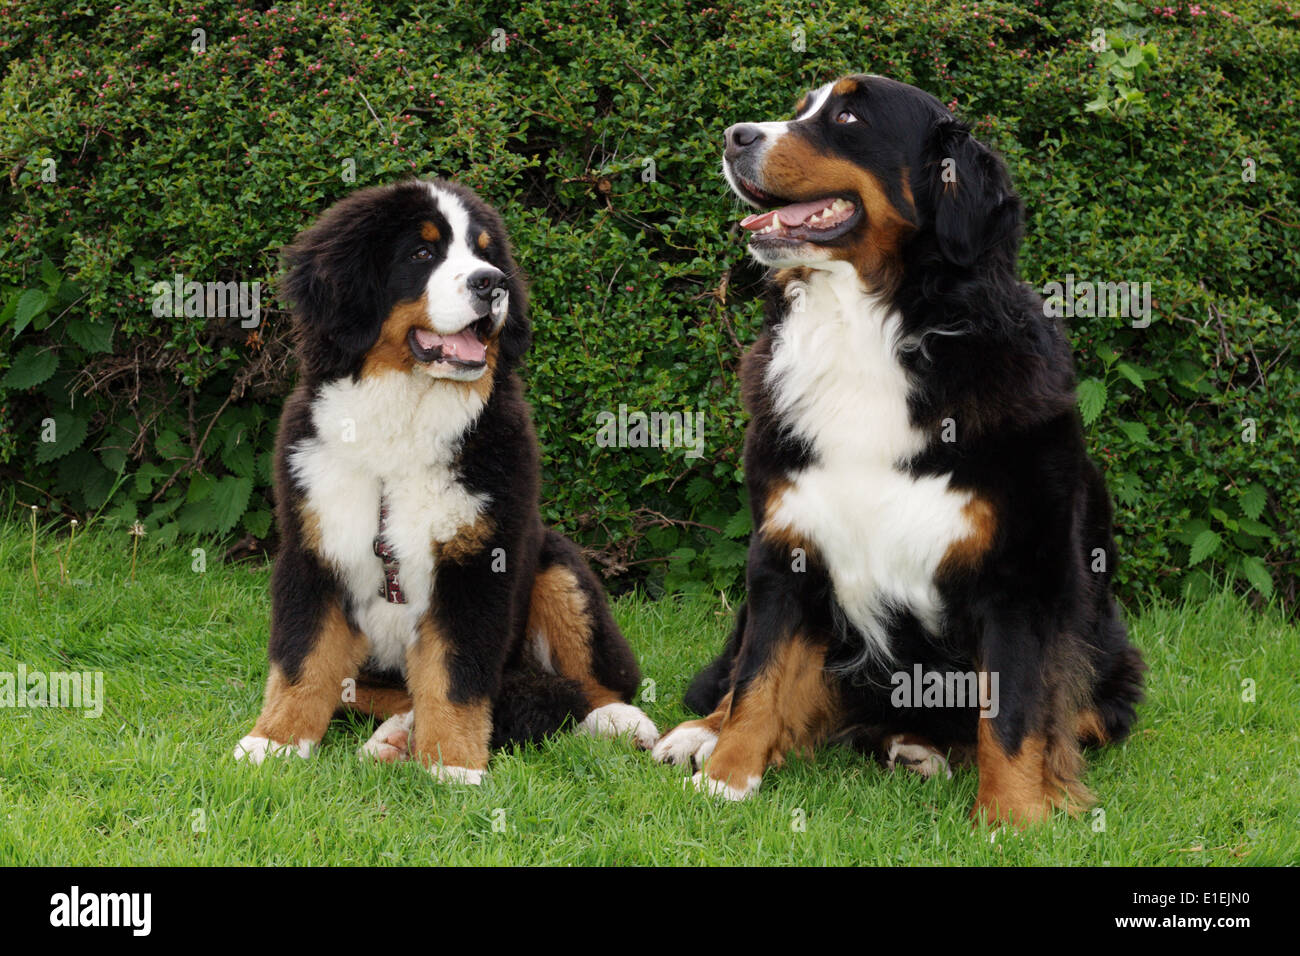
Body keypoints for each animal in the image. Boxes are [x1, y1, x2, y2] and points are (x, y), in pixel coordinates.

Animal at [233, 180, 655, 785]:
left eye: (485, 253)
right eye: (421, 252)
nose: (492, 283)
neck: (405, 414)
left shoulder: (477, 560)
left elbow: (454, 675)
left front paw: (452, 765)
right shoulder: (314, 550)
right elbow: (303, 659)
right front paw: (276, 741)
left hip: (559, 568)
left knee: (596, 683)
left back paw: (624, 722)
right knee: (368, 689)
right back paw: (393, 737)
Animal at [655, 74, 1144, 827]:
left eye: (849, 117)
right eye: (800, 109)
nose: (735, 136)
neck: (867, 330)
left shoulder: (1019, 573)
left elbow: (1013, 709)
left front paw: (1011, 818)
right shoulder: (786, 547)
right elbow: (760, 677)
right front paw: (728, 777)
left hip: (1106, 648)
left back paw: (923, 750)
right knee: (745, 677)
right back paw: (702, 735)